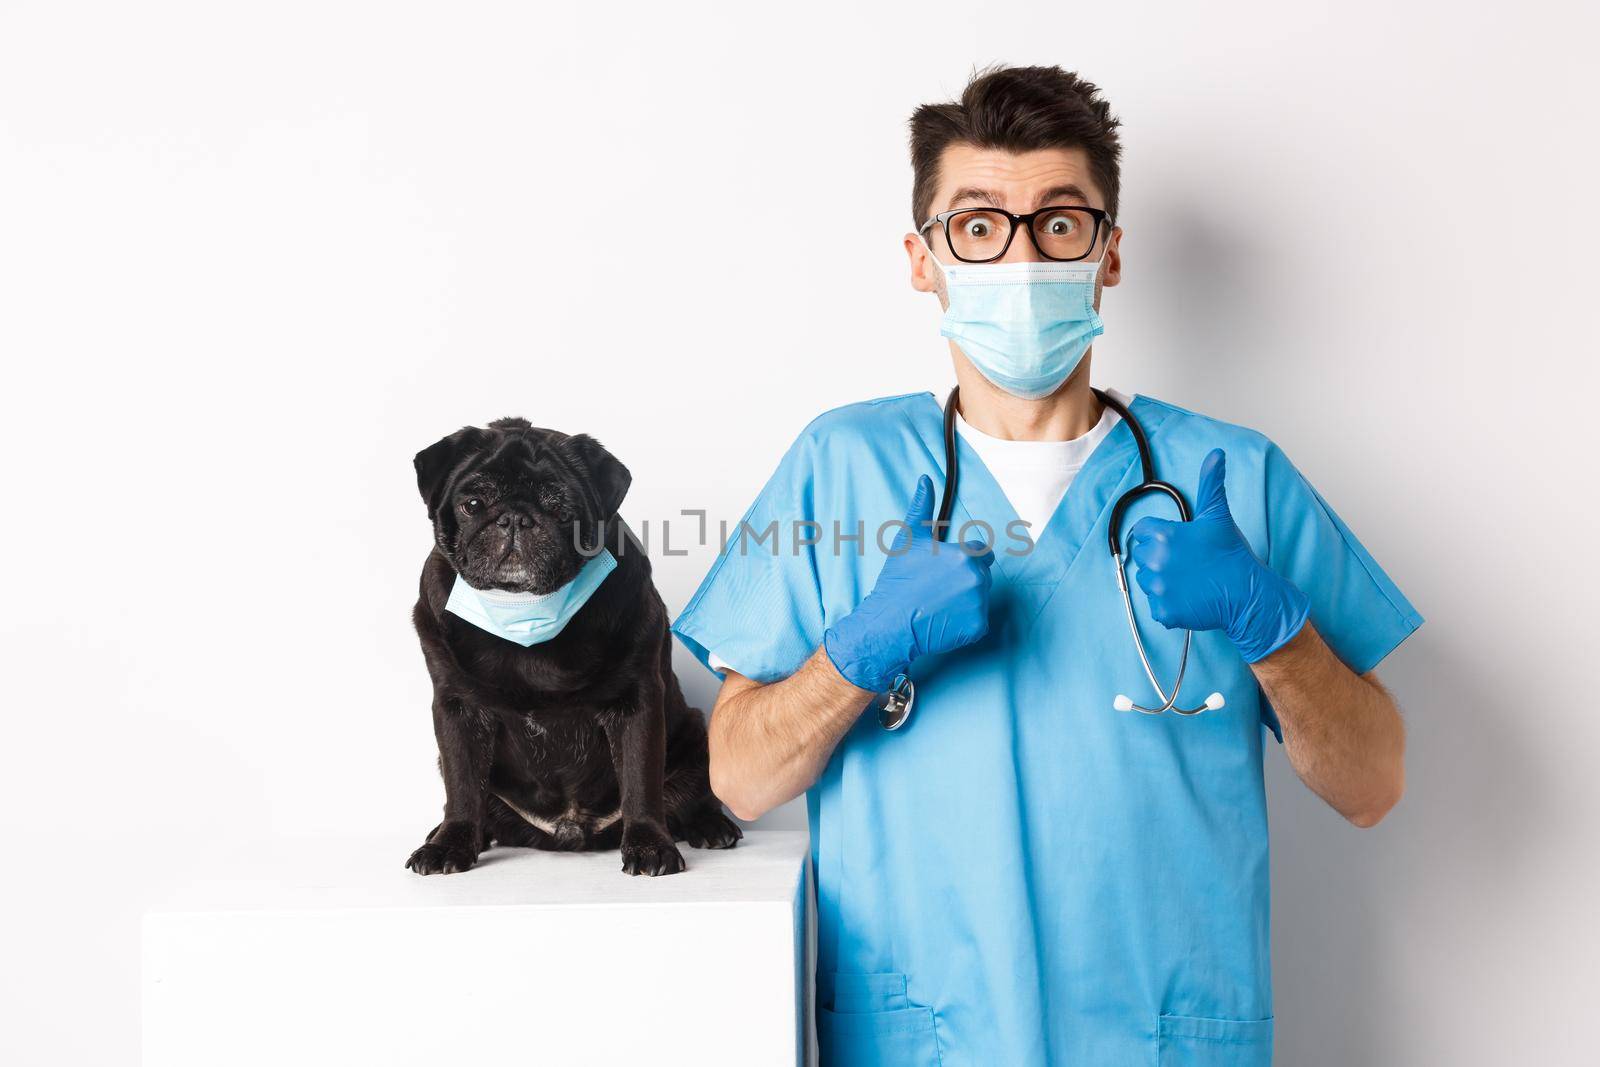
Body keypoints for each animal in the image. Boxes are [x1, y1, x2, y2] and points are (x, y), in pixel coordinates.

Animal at [409, 415, 739, 876]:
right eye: (473, 504)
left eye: (559, 508)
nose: (514, 518)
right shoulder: (458, 709)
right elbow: (461, 785)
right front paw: (450, 843)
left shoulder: (636, 703)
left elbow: (641, 781)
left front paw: (649, 845)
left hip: (695, 733)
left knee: (692, 794)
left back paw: (710, 825)